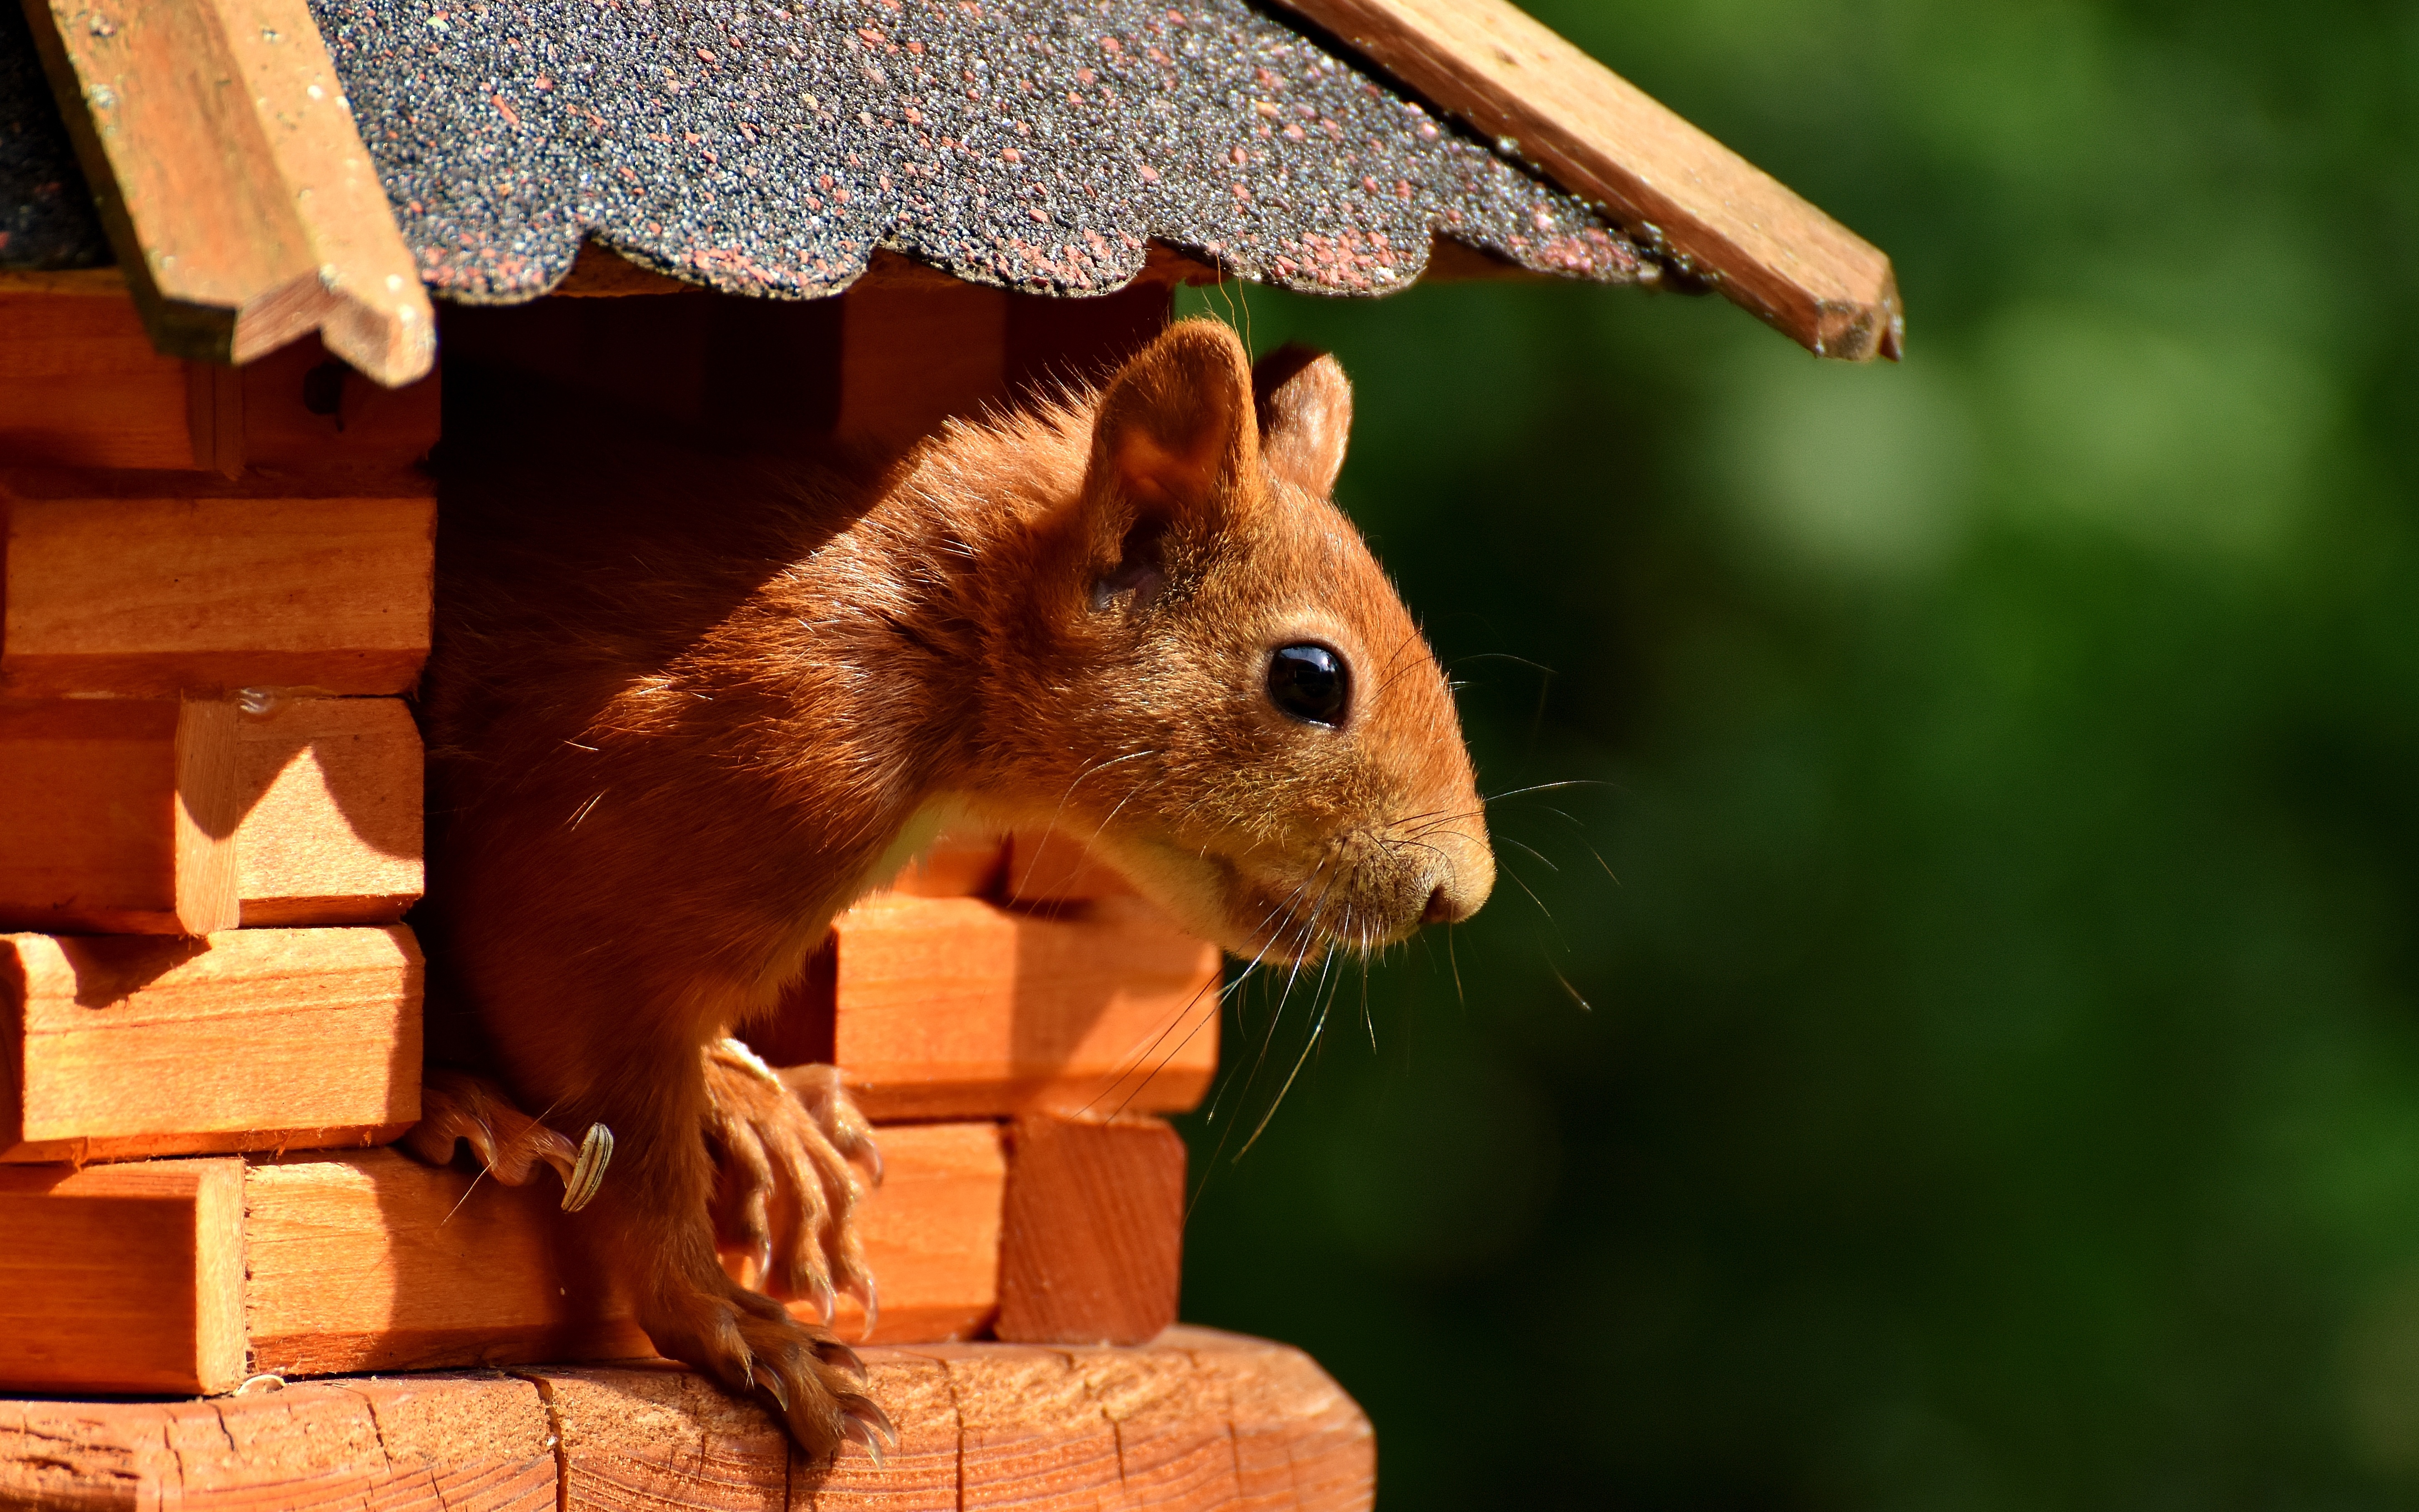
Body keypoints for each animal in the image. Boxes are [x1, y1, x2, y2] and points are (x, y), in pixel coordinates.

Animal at [416, 321, 1490, 1461]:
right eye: (1310, 679)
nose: (1459, 894)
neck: (940, 641)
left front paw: (755, 1100)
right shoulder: (649, 827)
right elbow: (608, 1102)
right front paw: (727, 1319)